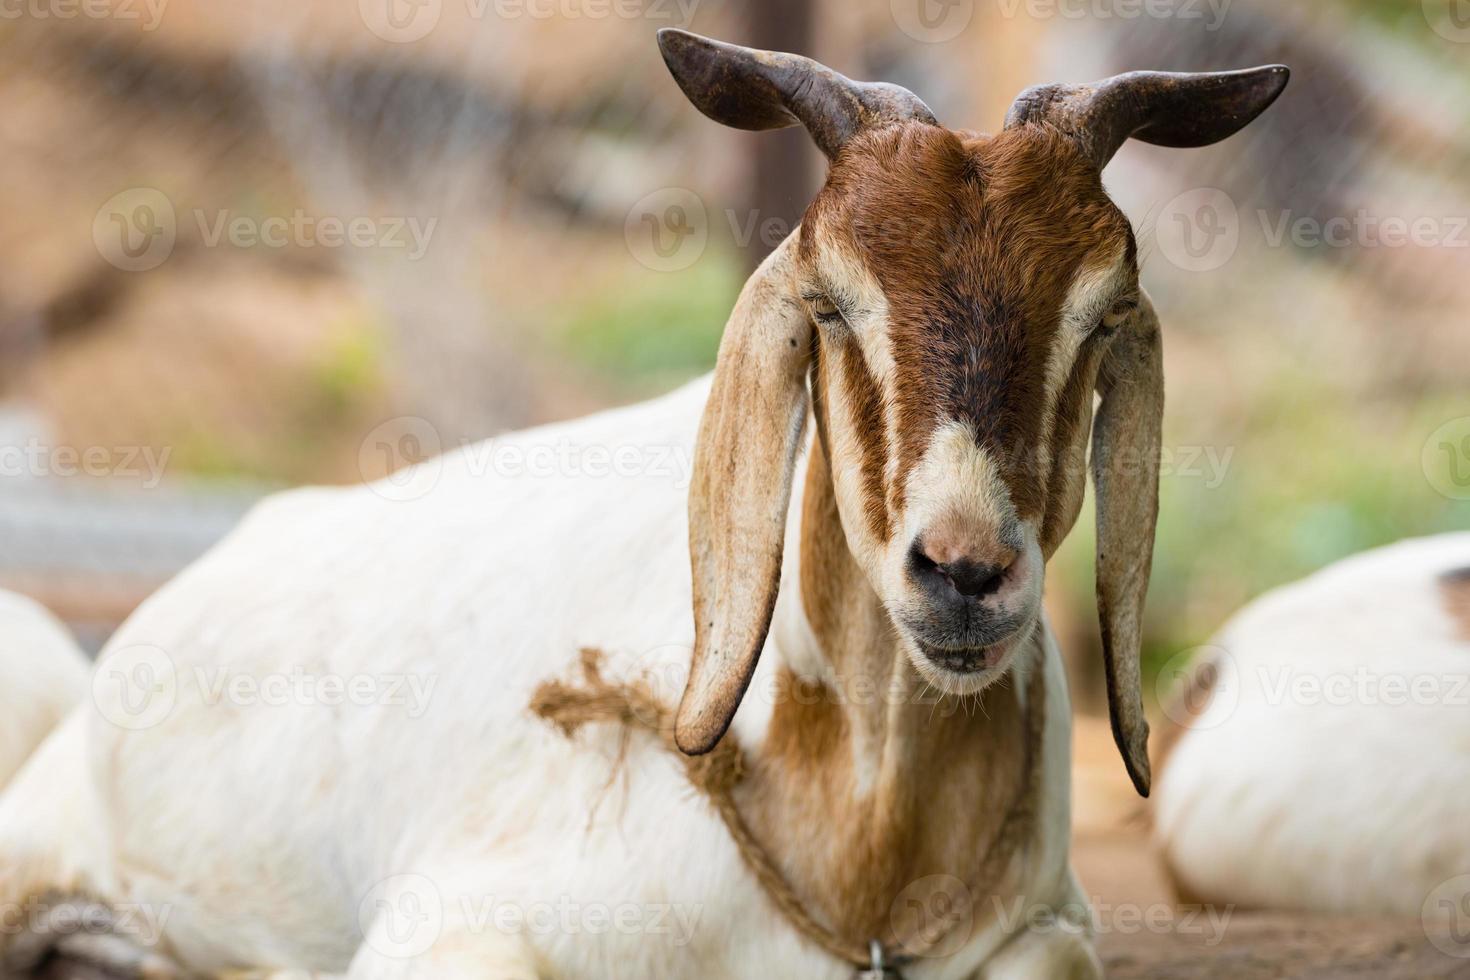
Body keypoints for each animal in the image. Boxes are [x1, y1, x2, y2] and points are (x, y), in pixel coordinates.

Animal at [0, 30, 1287, 980]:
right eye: (832, 301)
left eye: (1101, 312)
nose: (964, 571)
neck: (859, 858)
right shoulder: (455, 924)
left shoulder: (1048, 934)